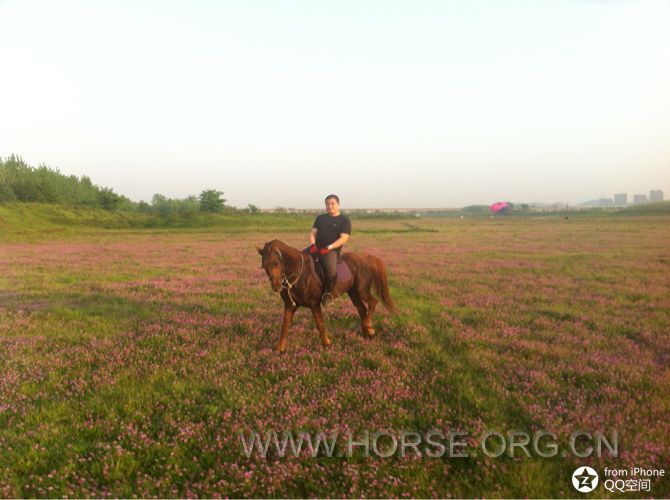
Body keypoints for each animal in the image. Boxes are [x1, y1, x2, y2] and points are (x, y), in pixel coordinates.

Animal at [256, 239, 394, 352]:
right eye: (264, 266)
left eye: (276, 262)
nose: (276, 286)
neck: (299, 273)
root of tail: (366, 258)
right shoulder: (290, 305)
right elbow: (284, 327)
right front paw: (279, 349)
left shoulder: (314, 304)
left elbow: (320, 324)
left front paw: (327, 344)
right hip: (353, 292)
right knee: (362, 309)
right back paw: (367, 333)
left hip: (362, 290)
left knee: (372, 303)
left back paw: (369, 328)